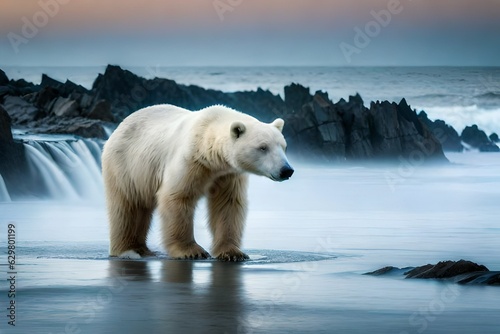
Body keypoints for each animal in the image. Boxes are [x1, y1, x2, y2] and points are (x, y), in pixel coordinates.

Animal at [103, 104, 294, 260]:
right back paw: (129, 250)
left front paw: (233, 253)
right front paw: (191, 251)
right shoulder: (191, 161)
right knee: (128, 206)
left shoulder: (228, 174)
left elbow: (227, 204)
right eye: (263, 147)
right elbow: (178, 196)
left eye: (283, 146)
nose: (287, 170)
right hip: (126, 166)